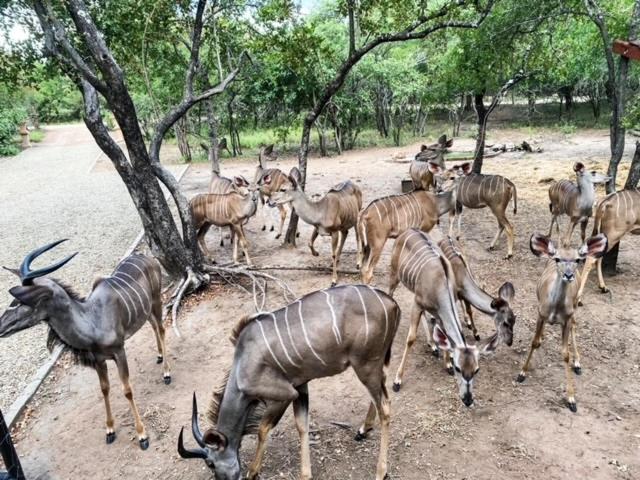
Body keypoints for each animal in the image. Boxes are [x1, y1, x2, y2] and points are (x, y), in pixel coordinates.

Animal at [0, 242, 168, 448]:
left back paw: (167, 373)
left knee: (161, 328)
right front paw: (109, 430)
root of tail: (148, 257)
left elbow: (127, 390)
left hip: (156, 299)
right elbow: (104, 389)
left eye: (21, 301)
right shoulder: (99, 360)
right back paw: (159, 356)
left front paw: (142, 435)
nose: (1, 326)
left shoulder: (119, 352)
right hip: (145, 310)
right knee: (153, 325)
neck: (92, 321)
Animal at [178, 284, 400, 480]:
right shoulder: (300, 387)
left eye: (211, 463)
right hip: (373, 366)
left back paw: (381, 471)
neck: (242, 367)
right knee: (381, 392)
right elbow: (302, 425)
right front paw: (305, 474)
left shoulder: (284, 394)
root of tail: (393, 304)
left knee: (385, 407)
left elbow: (263, 429)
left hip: (365, 365)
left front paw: (253, 471)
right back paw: (363, 430)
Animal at [384, 228, 500, 404]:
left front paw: (446, 363)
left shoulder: (437, 310)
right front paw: (397, 381)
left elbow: (443, 334)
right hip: (394, 275)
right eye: (459, 368)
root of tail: (407, 231)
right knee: (389, 294)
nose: (468, 399)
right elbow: (411, 339)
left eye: (476, 369)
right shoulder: (418, 304)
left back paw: (432, 345)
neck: (441, 283)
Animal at [516, 232, 608, 412]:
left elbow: (565, 354)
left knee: (575, 325)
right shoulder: (541, 314)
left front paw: (571, 399)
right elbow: (534, 342)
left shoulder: (566, 320)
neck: (555, 307)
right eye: (558, 259)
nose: (568, 275)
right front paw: (522, 373)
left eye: (578, 260)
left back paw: (577, 363)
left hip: (575, 306)